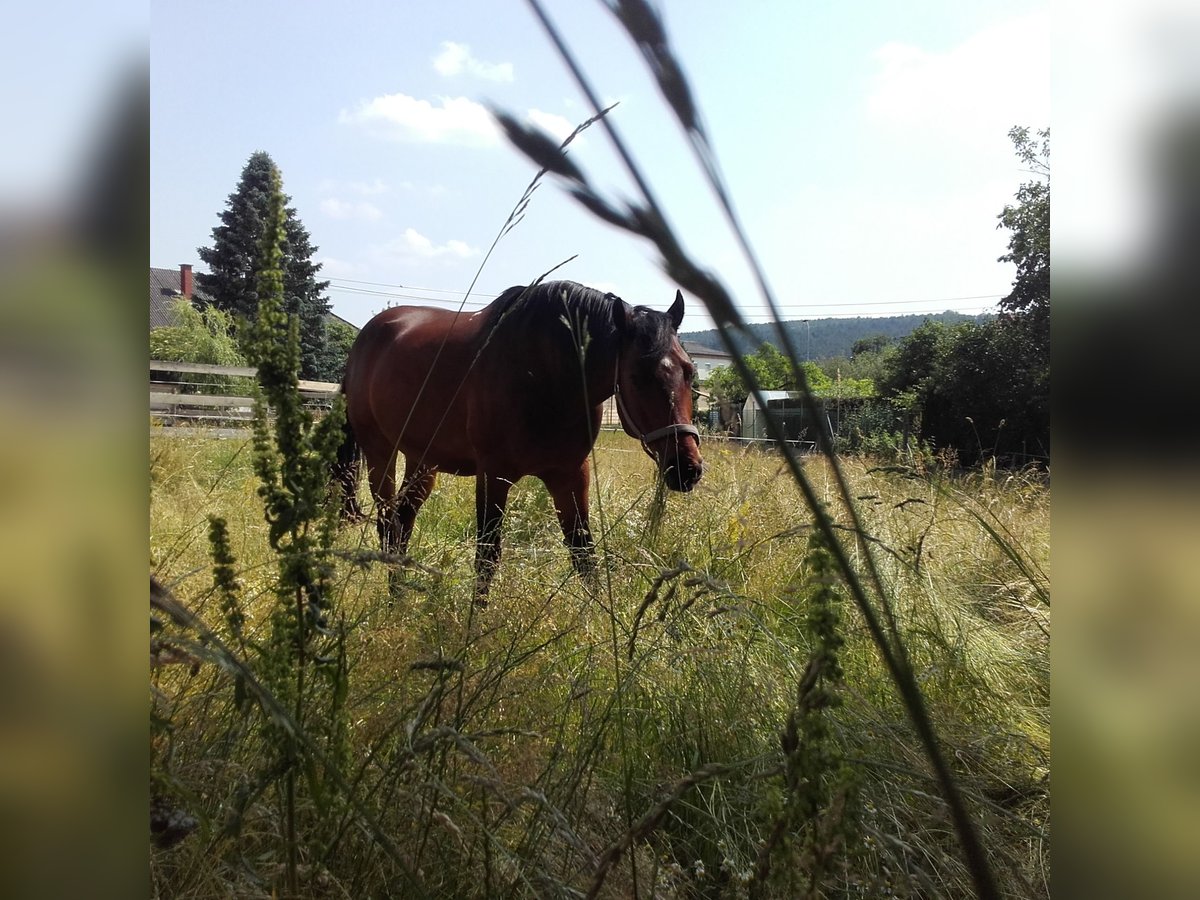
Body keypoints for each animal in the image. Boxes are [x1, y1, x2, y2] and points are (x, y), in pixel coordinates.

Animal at [331, 278, 700, 602]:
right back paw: (394, 599)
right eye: (637, 376)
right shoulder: (493, 475)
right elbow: (487, 557)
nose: (687, 468)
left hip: (423, 459)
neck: (545, 374)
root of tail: (366, 337)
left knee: (403, 521)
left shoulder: (570, 475)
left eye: (689, 371)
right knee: (388, 524)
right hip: (381, 452)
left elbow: (584, 554)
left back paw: (399, 597)